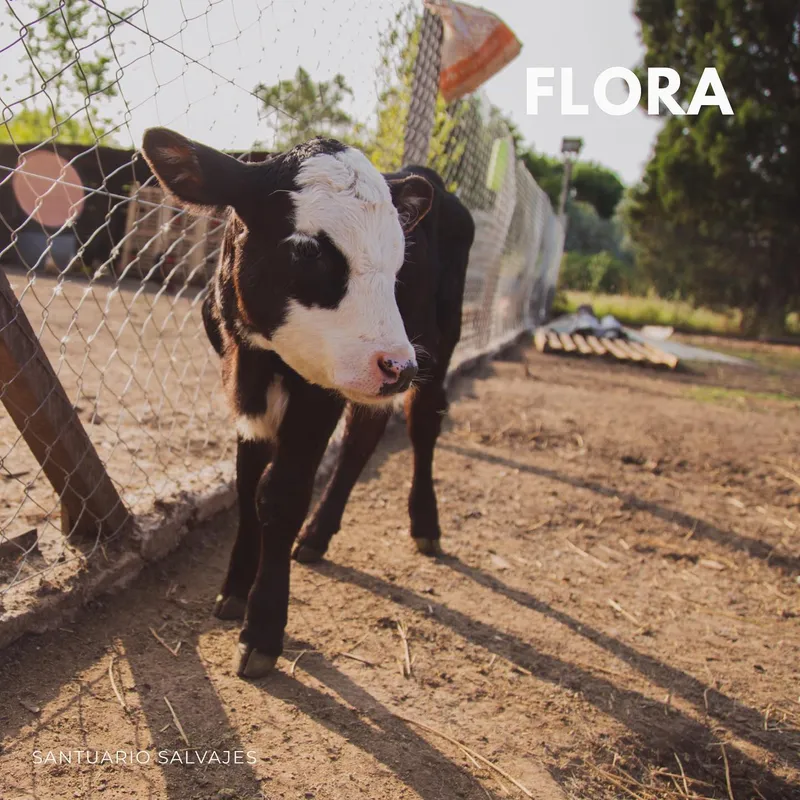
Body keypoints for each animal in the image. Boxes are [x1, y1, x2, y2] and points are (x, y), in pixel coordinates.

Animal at [141, 129, 475, 678]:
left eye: (399, 262)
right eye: (306, 250)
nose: (397, 366)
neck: (258, 357)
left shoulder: (317, 392)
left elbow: (280, 495)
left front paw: (263, 629)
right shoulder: (242, 387)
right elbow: (247, 484)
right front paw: (235, 588)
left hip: (440, 339)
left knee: (423, 422)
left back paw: (425, 523)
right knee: (363, 438)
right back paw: (318, 535)